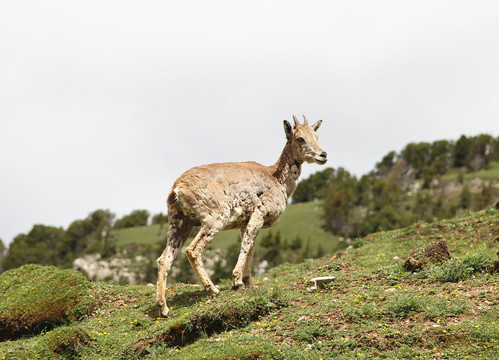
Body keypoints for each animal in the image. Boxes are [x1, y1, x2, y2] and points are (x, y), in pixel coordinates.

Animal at [156, 115, 328, 316]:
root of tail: (176, 190)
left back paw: (164, 307)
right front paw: (237, 281)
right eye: (300, 138)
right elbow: (246, 245)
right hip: (215, 217)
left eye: (316, 136)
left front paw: (249, 284)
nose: (323, 155)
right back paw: (214, 290)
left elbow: (251, 246)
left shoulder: (245, 222)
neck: (278, 180)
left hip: (179, 223)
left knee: (164, 259)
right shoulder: (258, 213)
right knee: (193, 250)